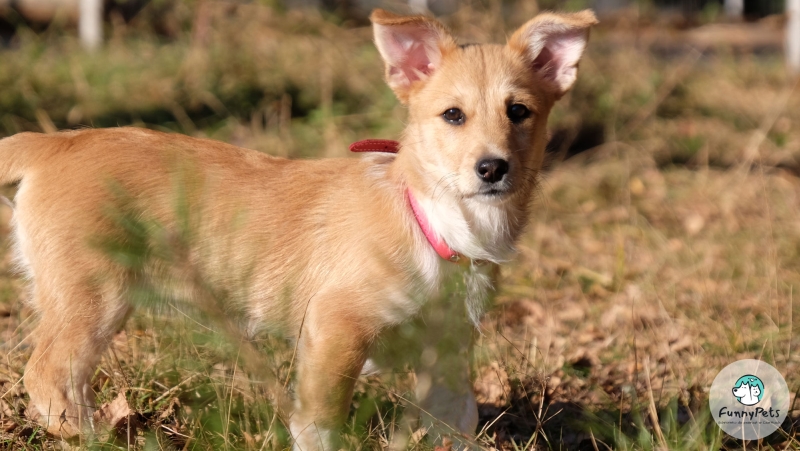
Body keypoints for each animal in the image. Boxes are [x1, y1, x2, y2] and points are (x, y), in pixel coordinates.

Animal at [0, 8, 595, 450]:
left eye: (519, 111)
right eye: (453, 115)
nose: (493, 168)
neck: (435, 222)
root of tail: (52, 143)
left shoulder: (447, 356)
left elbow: (455, 425)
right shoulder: (336, 328)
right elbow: (321, 424)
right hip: (92, 297)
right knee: (47, 378)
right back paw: (95, 438)